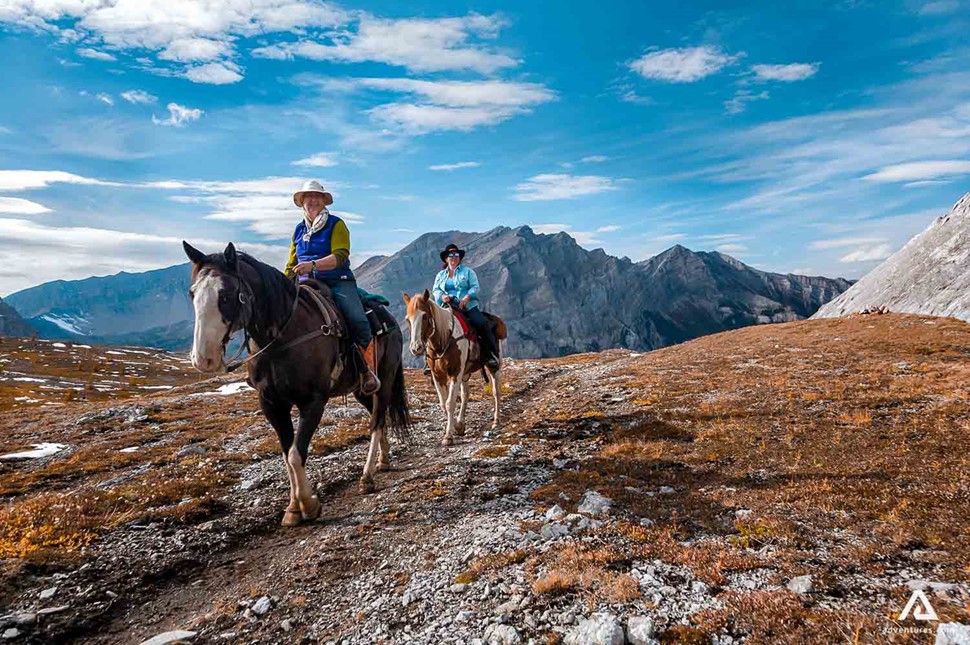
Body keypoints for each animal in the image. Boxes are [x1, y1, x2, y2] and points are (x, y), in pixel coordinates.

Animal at [184, 240, 408, 524]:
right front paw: (293, 508)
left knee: (377, 420)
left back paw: (367, 477)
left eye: (225, 295)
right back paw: (384, 459)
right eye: (192, 294)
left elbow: (295, 454)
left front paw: (308, 505)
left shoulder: (313, 402)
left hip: (386, 378)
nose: (203, 359)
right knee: (377, 417)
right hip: (361, 388)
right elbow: (286, 453)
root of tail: (388, 318)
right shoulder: (271, 404)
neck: (282, 337)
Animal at [402, 288, 506, 442]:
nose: (416, 348)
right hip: (465, 372)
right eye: (408, 319)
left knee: (496, 392)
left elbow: (450, 403)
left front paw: (448, 436)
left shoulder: (455, 373)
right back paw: (461, 421)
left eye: (425, 316)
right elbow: (443, 403)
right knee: (465, 394)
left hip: (494, 367)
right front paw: (457, 426)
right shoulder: (437, 376)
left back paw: (496, 421)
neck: (444, 338)